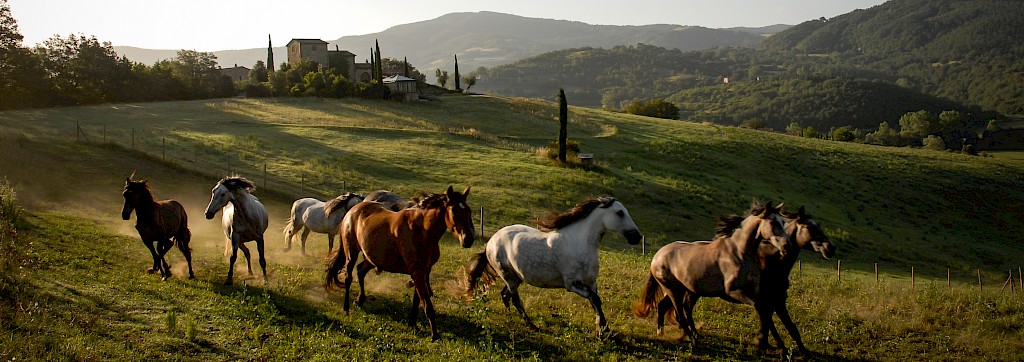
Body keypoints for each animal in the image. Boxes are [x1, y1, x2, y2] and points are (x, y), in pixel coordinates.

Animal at [323, 185, 475, 341]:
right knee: (348, 277)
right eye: (454, 211)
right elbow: (427, 305)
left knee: (360, 270)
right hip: (351, 253)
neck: (422, 231)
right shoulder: (417, 273)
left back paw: (360, 300)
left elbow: (417, 301)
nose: (468, 239)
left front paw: (412, 323)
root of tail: (353, 210)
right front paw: (435, 335)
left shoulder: (423, 272)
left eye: (468, 211)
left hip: (372, 258)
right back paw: (346, 308)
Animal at [460, 196, 643, 335]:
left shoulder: (591, 283)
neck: (580, 243)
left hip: (516, 277)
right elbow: (595, 299)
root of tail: (491, 242)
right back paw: (531, 325)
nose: (637, 237)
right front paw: (603, 331)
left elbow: (596, 302)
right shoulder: (572, 284)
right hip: (508, 276)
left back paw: (510, 317)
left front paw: (603, 329)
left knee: (505, 295)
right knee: (515, 299)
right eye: (620, 212)